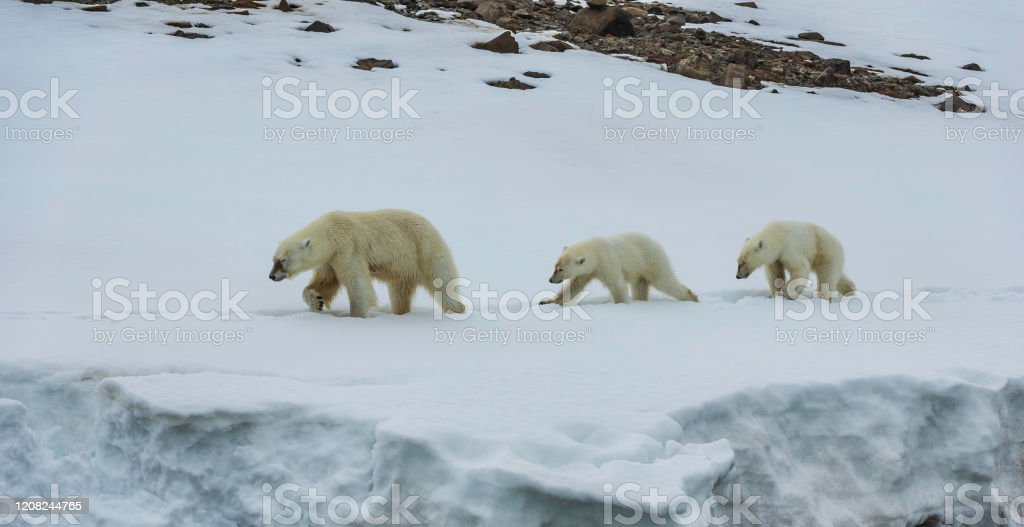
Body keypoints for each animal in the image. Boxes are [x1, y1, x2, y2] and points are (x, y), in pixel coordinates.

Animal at [270, 209, 466, 317]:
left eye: (284, 260)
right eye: (274, 259)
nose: (271, 276)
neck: (331, 231)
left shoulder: (346, 247)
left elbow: (357, 282)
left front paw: (356, 316)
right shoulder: (330, 259)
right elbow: (326, 282)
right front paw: (316, 301)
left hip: (424, 250)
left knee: (442, 281)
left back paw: (456, 309)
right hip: (403, 268)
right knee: (400, 292)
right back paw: (399, 312)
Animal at [540, 234, 700, 304]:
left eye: (561, 270)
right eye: (555, 267)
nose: (550, 280)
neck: (595, 251)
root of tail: (656, 243)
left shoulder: (607, 262)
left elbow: (617, 285)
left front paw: (621, 305)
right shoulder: (588, 271)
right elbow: (574, 286)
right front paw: (548, 301)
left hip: (651, 261)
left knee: (665, 282)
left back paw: (692, 297)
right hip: (640, 271)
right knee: (639, 287)